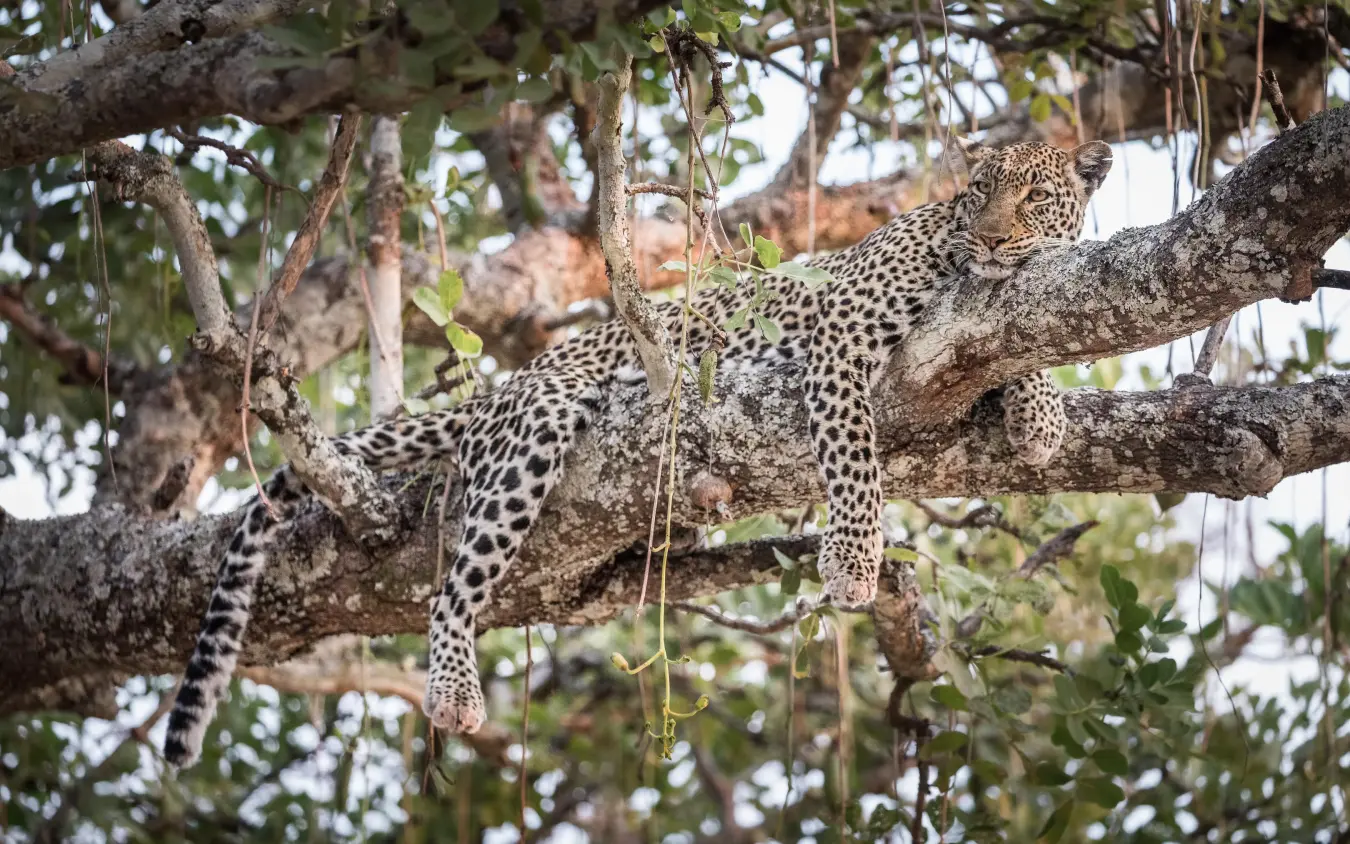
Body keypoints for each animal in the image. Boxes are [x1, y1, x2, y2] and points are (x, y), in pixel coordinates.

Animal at [162, 137, 1112, 768]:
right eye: (980, 191)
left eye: (1033, 197)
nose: (990, 239)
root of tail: (512, 379)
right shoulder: (842, 334)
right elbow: (852, 456)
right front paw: (852, 561)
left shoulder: (992, 324)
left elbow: (1021, 352)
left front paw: (1038, 417)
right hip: (534, 431)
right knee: (451, 588)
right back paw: (456, 690)